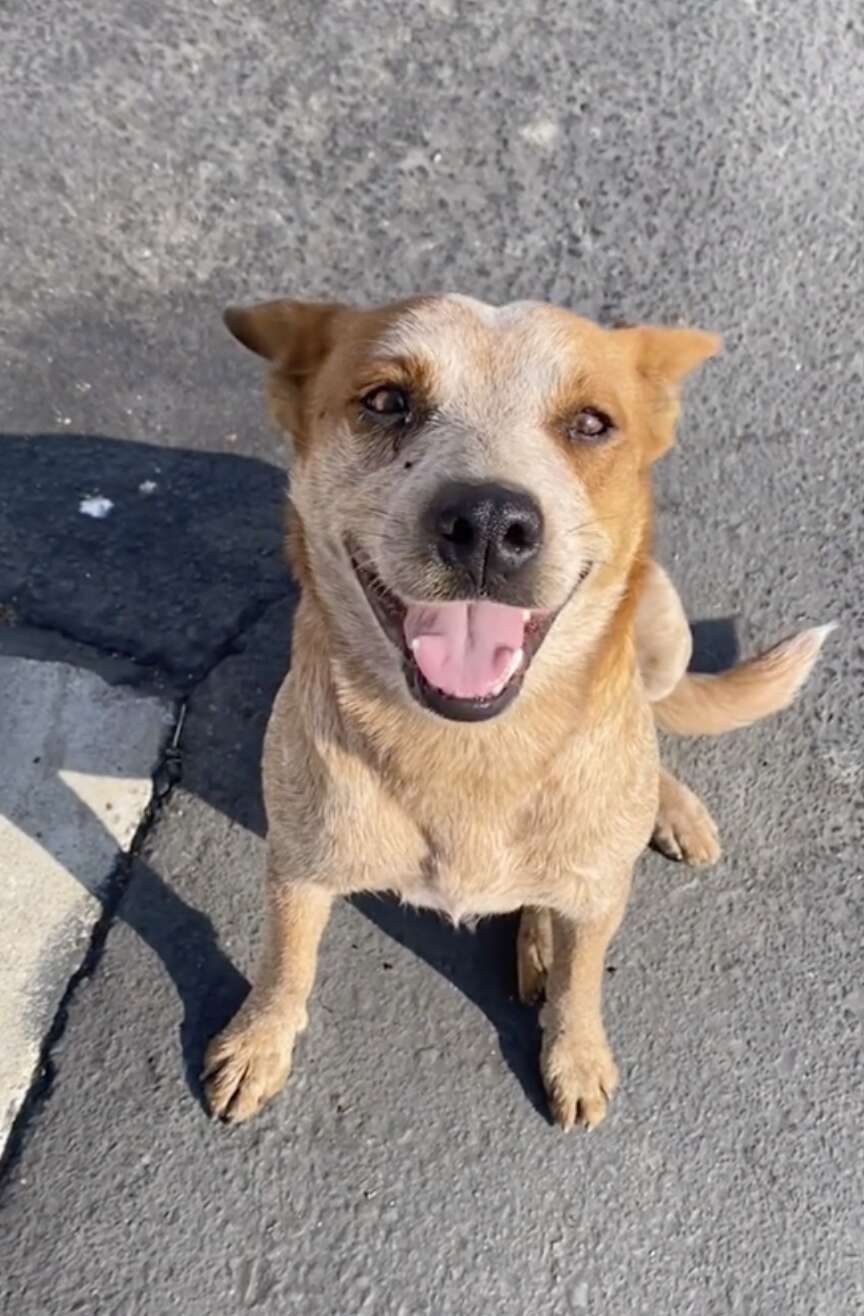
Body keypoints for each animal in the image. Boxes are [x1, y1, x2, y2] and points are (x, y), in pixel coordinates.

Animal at [203, 298, 831, 1131]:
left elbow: (582, 983)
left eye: (591, 423)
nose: (489, 523)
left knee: (650, 727)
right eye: (386, 400)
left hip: (665, 629)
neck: (470, 749)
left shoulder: (598, 899)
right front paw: (258, 1041)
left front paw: (577, 1054)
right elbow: (284, 962)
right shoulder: (299, 865)